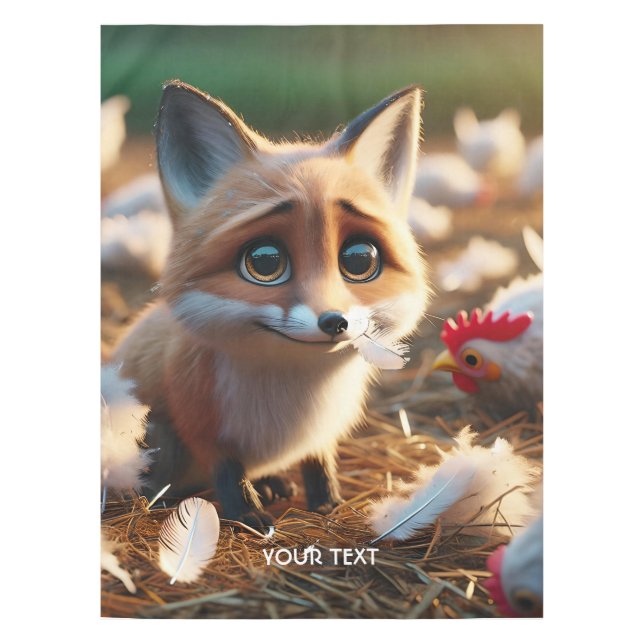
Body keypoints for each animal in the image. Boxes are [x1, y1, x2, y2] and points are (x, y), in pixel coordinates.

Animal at [111, 80, 430, 528]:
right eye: (264, 261)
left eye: (359, 260)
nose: (334, 321)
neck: (291, 401)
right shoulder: (204, 428)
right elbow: (229, 475)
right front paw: (248, 515)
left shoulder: (322, 435)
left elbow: (319, 466)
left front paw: (329, 505)